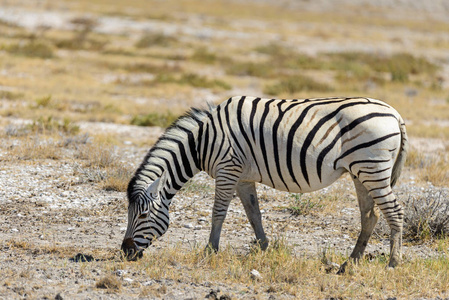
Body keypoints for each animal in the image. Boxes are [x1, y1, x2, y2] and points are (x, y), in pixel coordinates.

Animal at [121, 96, 408, 272]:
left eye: (143, 215)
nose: (125, 252)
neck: (202, 142)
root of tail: (394, 113)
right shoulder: (243, 178)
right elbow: (253, 214)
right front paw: (265, 248)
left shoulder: (228, 169)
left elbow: (218, 213)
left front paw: (210, 251)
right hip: (360, 171)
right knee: (370, 216)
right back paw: (349, 264)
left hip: (372, 167)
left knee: (395, 211)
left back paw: (393, 263)